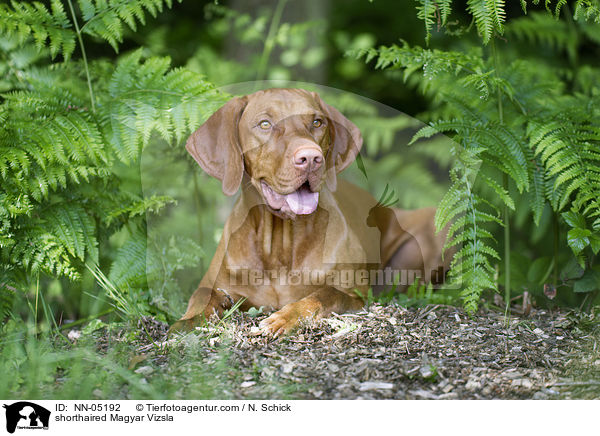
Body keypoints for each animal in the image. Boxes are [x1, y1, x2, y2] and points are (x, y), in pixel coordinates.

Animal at [170, 87, 450, 334]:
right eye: (264, 124)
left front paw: (284, 318)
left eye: (317, 122)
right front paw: (187, 323)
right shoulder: (215, 285)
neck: (280, 244)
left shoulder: (352, 294)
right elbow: (202, 297)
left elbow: (323, 295)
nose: (311, 158)